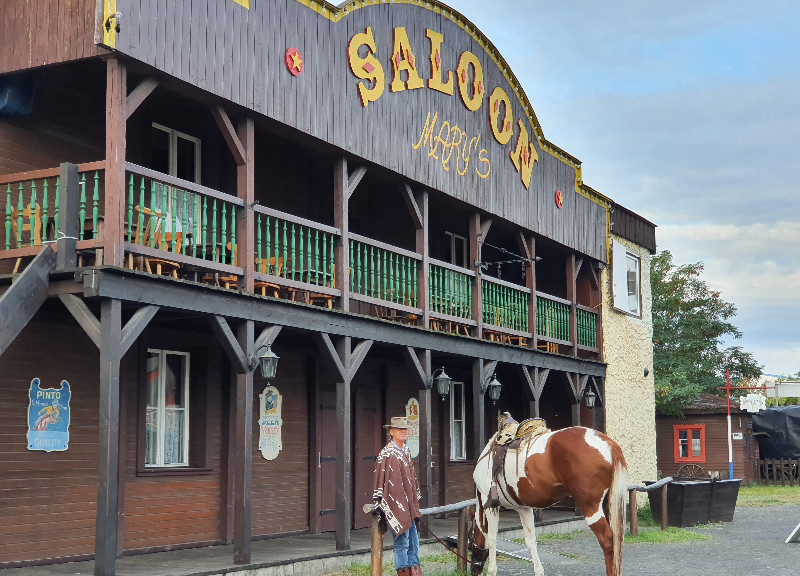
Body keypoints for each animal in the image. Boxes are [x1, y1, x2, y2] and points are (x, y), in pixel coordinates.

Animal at [468, 426, 632, 572]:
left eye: (469, 544)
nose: (474, 570)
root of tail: (608, 443)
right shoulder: (523, 508)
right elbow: (531, 541)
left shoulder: (491, 507)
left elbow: (492, 539)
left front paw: (491, 570)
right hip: (607, 505)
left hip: (591, 508)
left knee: (608, 541)